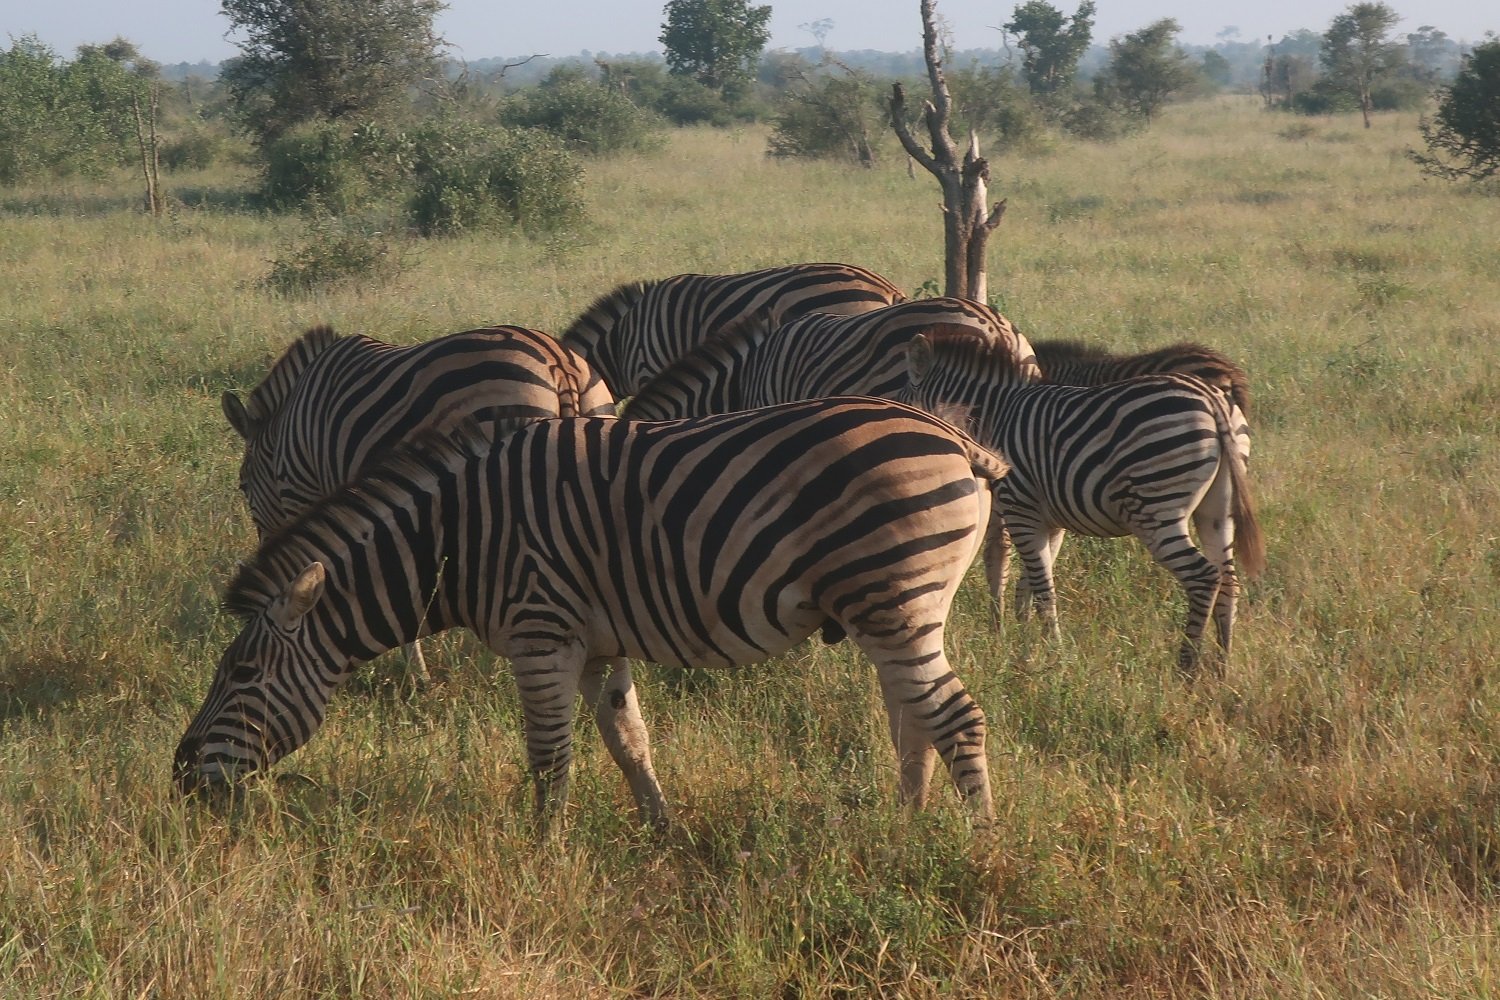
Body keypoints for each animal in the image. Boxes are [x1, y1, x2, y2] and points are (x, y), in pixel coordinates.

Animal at [181, 395, 1014, 833]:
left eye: (241, 673)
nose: (181, 779)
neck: (456, 537)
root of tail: (954, 437)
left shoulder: (539, 633)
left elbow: (551, 758)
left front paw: (544, 853)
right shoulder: (596, 642)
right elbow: (628, 741)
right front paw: (663, 833)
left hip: (892, 594)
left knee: (956, 716)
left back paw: (977, 845)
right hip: (892, 609)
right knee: (914, 716)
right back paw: (907, 827)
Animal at [894, 328, 1272, 671]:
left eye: (904, 403)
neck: (994, 414)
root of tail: (1212, 399)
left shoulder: (1020, 508)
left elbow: (1042, 586)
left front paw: (1053, 654)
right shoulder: (1051, 521)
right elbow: (1031, 583)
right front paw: (1024, 644)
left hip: (1157, 508)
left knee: (1204, 577)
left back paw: (1187, 666)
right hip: (1217, 511)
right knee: (1228, 580)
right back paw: (1222, 665)